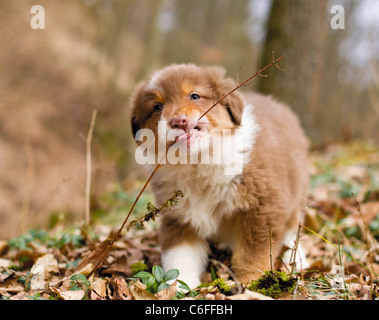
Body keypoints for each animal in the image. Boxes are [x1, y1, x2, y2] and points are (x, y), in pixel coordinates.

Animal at [130, 63, 308, 288]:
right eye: (156, 107)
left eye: (195, 96)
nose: (178, 121)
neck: (198, 162)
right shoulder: (179, 217)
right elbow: (180, 255)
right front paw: (180, 287)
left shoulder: (262, 207)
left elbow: (252, 254)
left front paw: (250, 284)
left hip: (297, 193)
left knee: (292, 231)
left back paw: (297, 260)